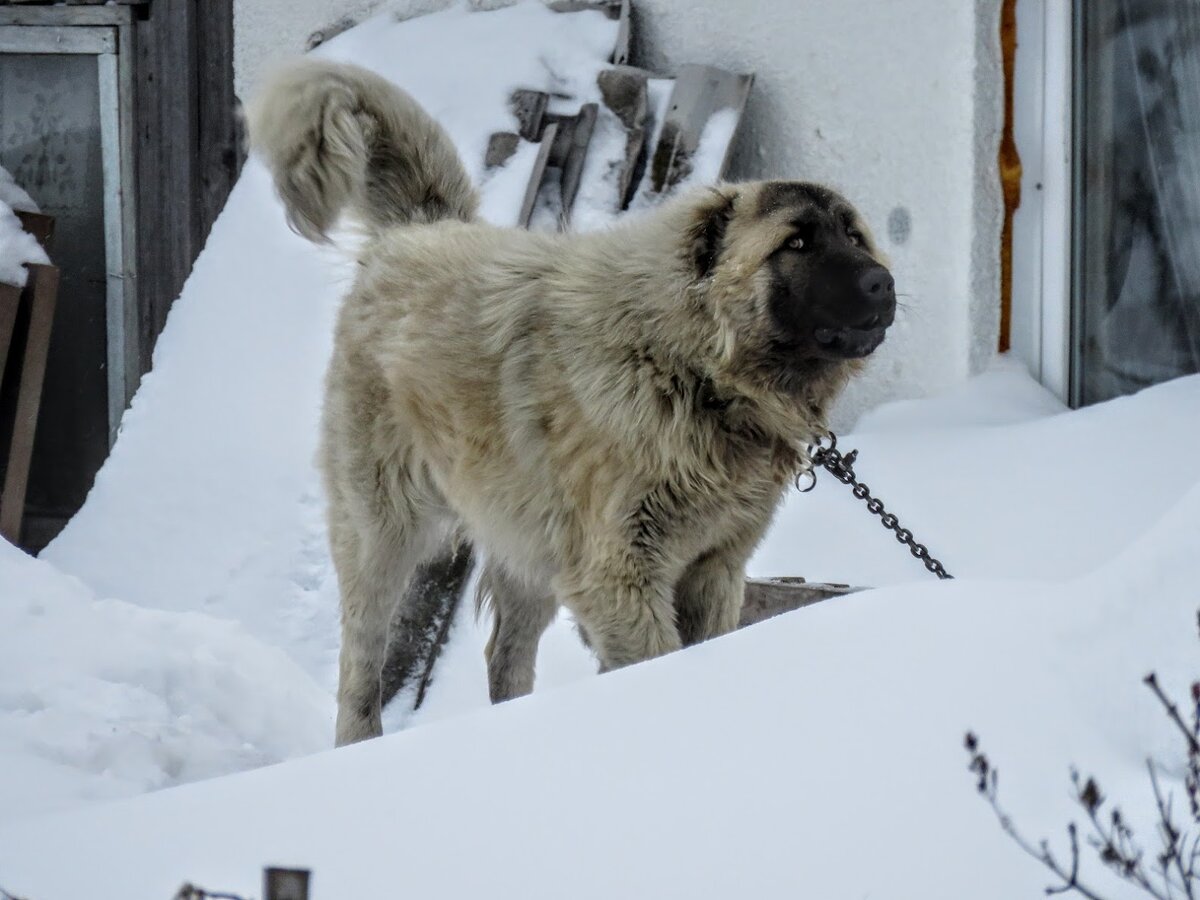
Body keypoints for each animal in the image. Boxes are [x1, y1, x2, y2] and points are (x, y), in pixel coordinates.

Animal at [250, 58, 892, 748]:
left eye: (853, 235)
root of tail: (418, 230)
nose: (883, 282)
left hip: (529, 539)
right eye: (794, 244)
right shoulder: (620, 572)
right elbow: (653, 658)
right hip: (382, 530)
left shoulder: (713, 568)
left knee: (505, 656)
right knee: (361, 661)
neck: (692, 372)